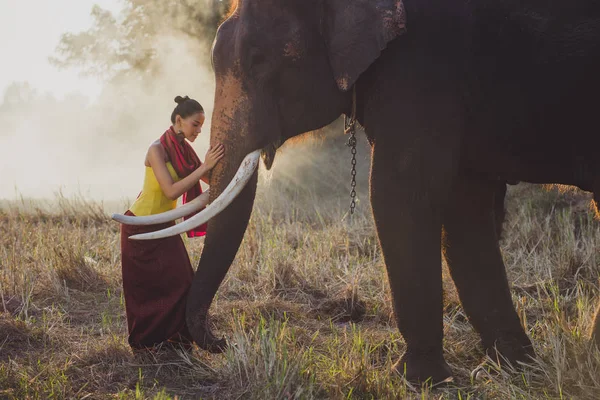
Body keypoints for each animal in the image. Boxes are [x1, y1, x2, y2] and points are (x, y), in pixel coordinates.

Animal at [119, 0, 600, 384]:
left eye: (258, 59)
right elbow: (465, 209)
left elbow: (399, 195)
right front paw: (512, 371)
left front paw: (419, 381)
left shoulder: (420, 68)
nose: (221, 341)